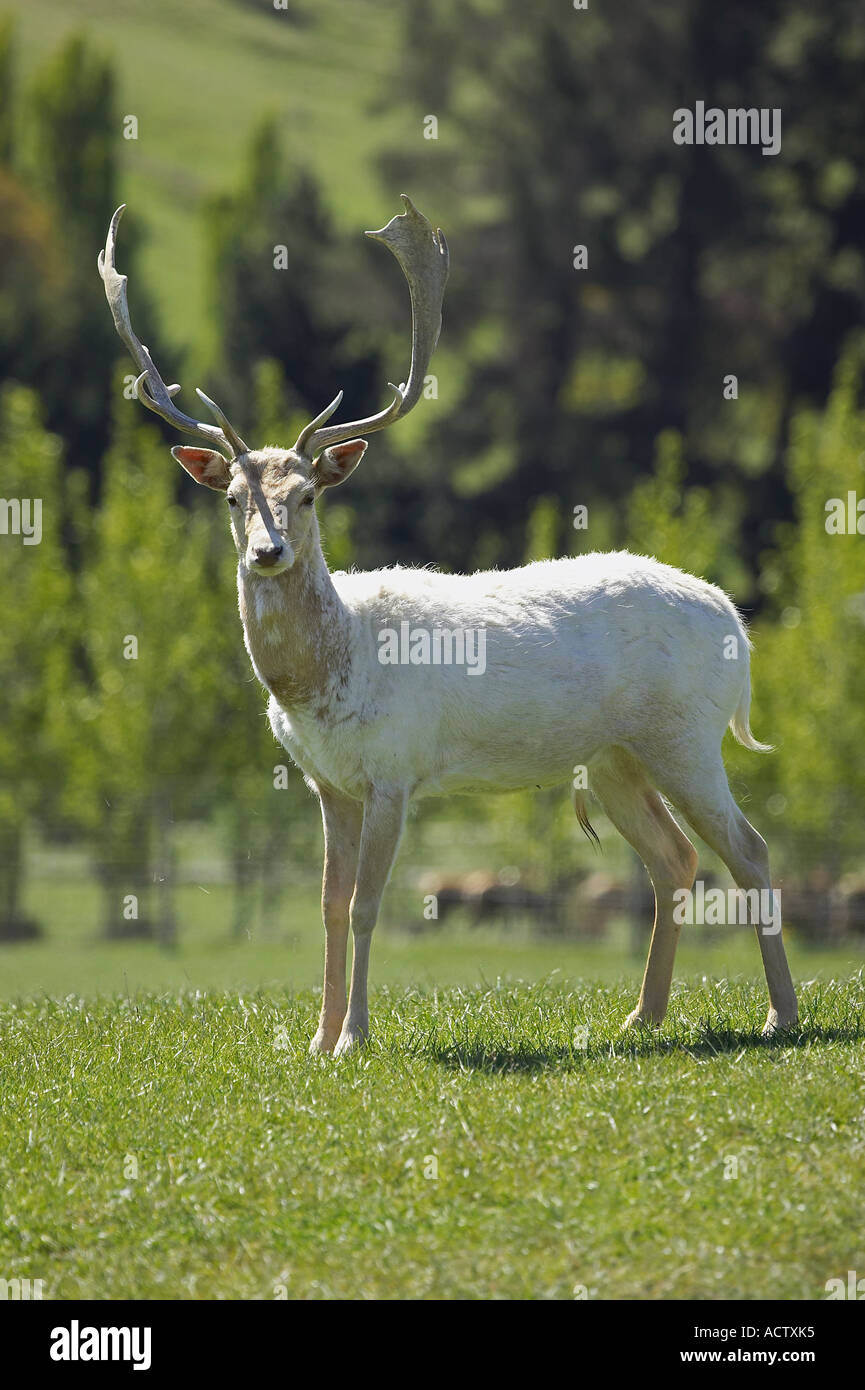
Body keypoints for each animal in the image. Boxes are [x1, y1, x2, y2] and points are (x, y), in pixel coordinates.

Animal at [100, 198, 801, 1050]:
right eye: (233, 498)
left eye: (308, 495)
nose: (267, 552)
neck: (325, 675)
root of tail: (737, 622)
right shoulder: (326, 782)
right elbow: (327, 906)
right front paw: (315, 1038)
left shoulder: (394, 768)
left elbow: (367, 906)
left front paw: (355, 1037)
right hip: (613, 756)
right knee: (672, 859)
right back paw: (641, 1015)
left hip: (686, 736)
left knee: (750, 851)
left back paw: (778, 1014)